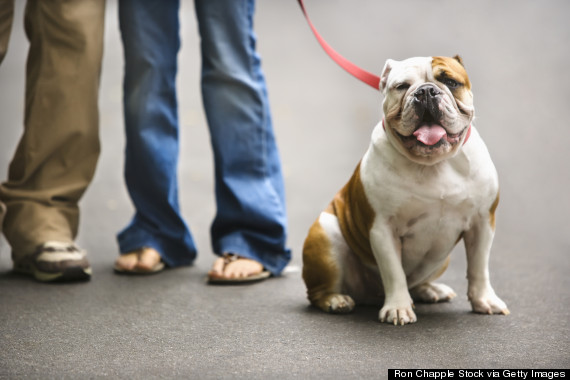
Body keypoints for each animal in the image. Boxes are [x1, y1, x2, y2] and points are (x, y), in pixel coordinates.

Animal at [302, 55, 506, 326]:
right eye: (401, 87)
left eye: (451, 82)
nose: (426, 91)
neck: (434, 165)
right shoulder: (383, 229)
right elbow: (394, 272)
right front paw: (398, 308)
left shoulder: (482, 223)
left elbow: (478, 267)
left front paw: (484, 300)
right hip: (326, 236)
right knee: (318, 292)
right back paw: (336, 300)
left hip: (441, 260)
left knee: (418, 281)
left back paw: (430, 290)